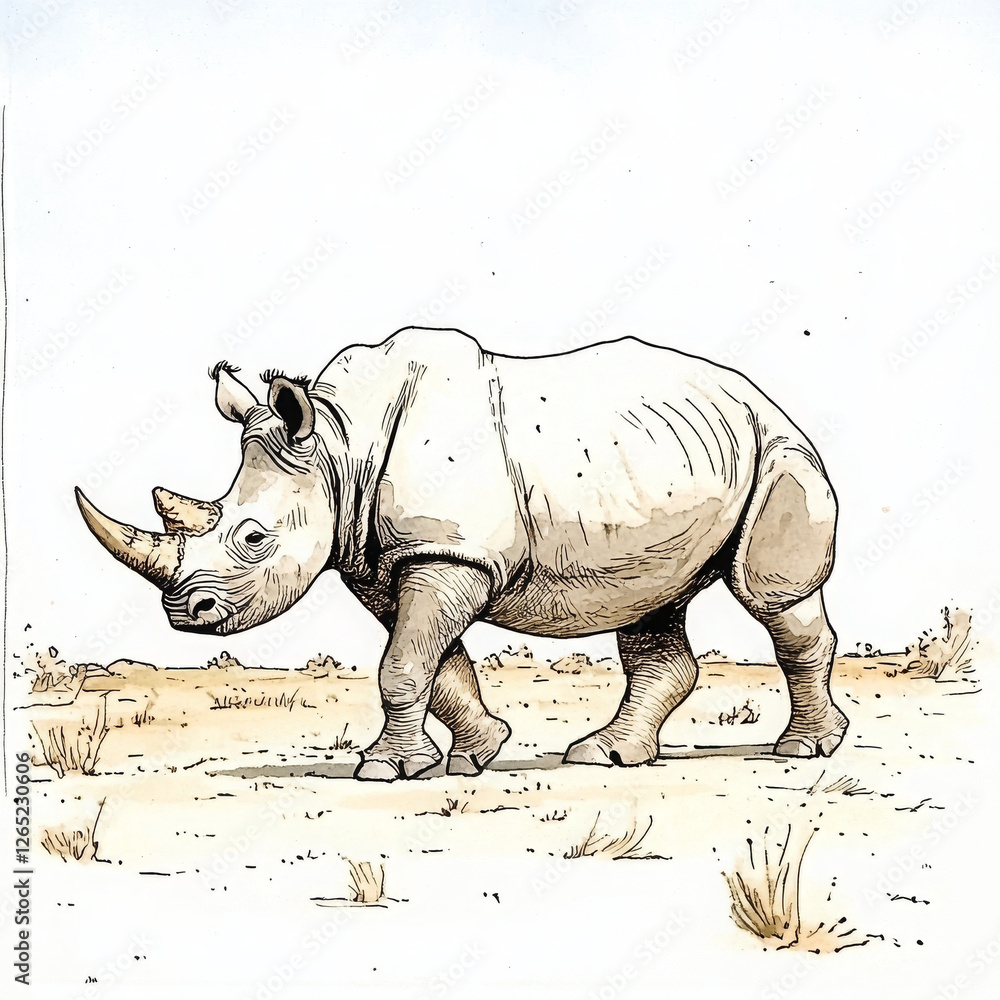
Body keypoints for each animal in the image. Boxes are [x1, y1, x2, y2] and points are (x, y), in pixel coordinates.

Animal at [77, 328, 847, 781]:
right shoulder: (394, 557)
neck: (340, 445)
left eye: (253, 538)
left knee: (772, 599)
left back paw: (804, 749)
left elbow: (402, 665)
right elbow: (431, 663)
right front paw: (478, 751)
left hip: (777, 449)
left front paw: (385, 772)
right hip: (672, 465)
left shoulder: (448, 552)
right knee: (653, 603)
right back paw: (605, 755)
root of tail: (757, 393)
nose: (185, 612)